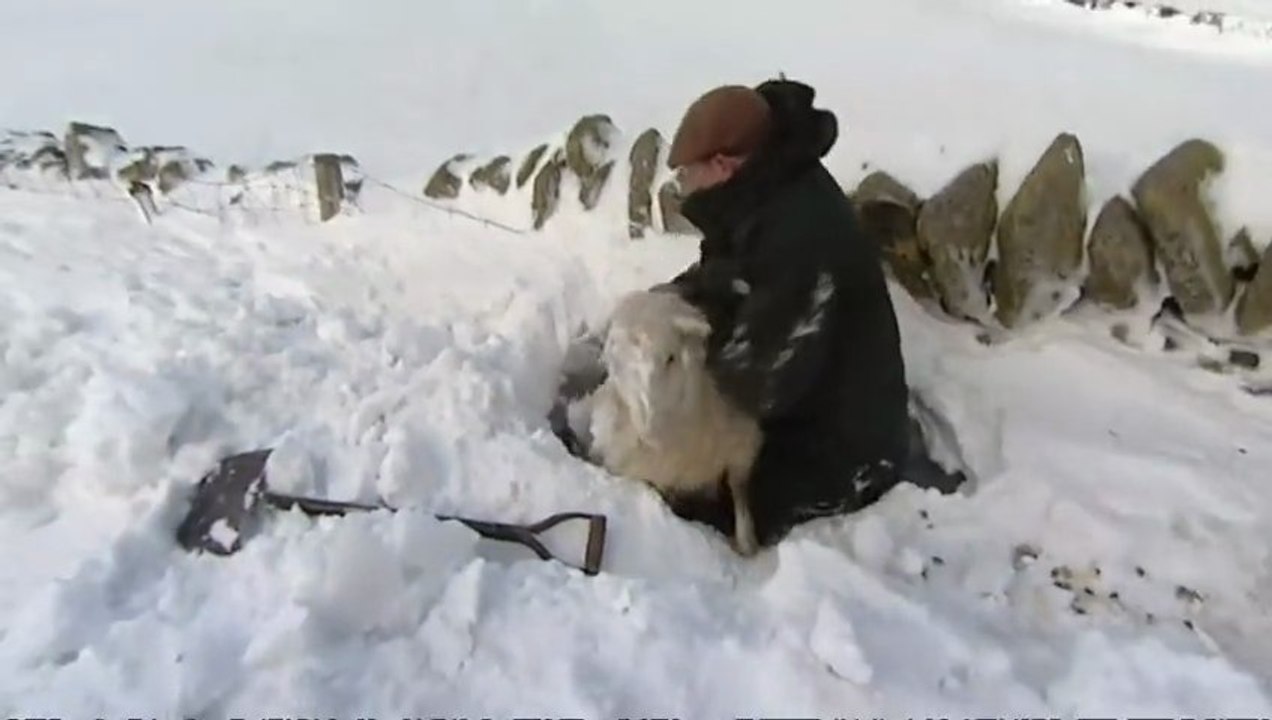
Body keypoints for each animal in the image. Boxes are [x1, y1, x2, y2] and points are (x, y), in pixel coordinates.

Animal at [570, 287, 764, 556]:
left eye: (671, 358)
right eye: (620, 362)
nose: (649, 428)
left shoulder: (743, 446)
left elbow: (740, 490)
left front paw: (746, 543)